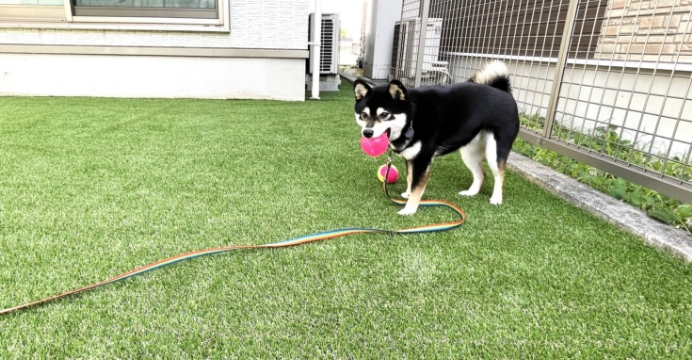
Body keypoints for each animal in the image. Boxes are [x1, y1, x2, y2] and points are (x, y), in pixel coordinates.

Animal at [356, 61, 520, 214]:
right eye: (363, 115)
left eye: (384, 114)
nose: (367, 133)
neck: (412, 117)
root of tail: (504, 91)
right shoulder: (411, 158)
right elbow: (410, 179)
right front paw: (408, 195)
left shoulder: (423, 159)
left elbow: (416, 186)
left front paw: (409, 210)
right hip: (469, 153)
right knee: (481, 174)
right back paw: (470, 193)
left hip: (495, 151)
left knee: (499, 175)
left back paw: (496, 199)